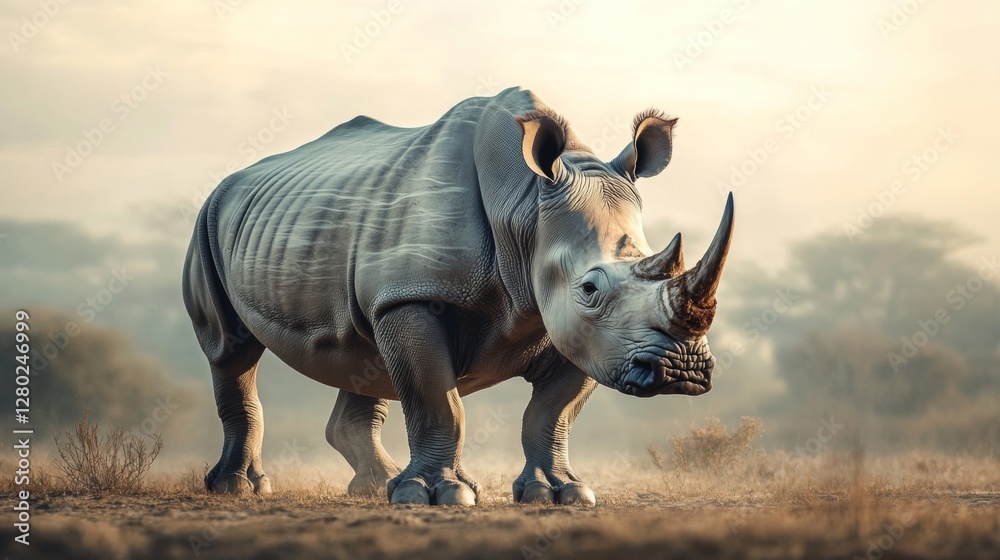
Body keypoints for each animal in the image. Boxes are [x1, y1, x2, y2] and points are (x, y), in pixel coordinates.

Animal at [182, 87, 734, 506]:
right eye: (590, 288)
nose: (682, 369)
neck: (526, 208)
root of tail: (233, 178)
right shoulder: (411, 295)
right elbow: (435, 398)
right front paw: (435, 497)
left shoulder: (582, 332)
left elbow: (552, 411)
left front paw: (561, 494)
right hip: (209, 217)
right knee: (231, 351)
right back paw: (240, 490)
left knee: (362, 350)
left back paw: (375, 487)